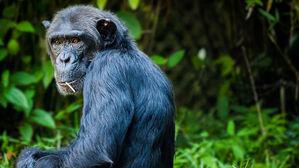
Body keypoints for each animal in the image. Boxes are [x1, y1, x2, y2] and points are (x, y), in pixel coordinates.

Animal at [15, 4, 176, 167]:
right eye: (57, 43)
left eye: (75, 41)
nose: (64, 59)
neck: (117, 49)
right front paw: (27, 156)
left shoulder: (106, 70)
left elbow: (92, 151)